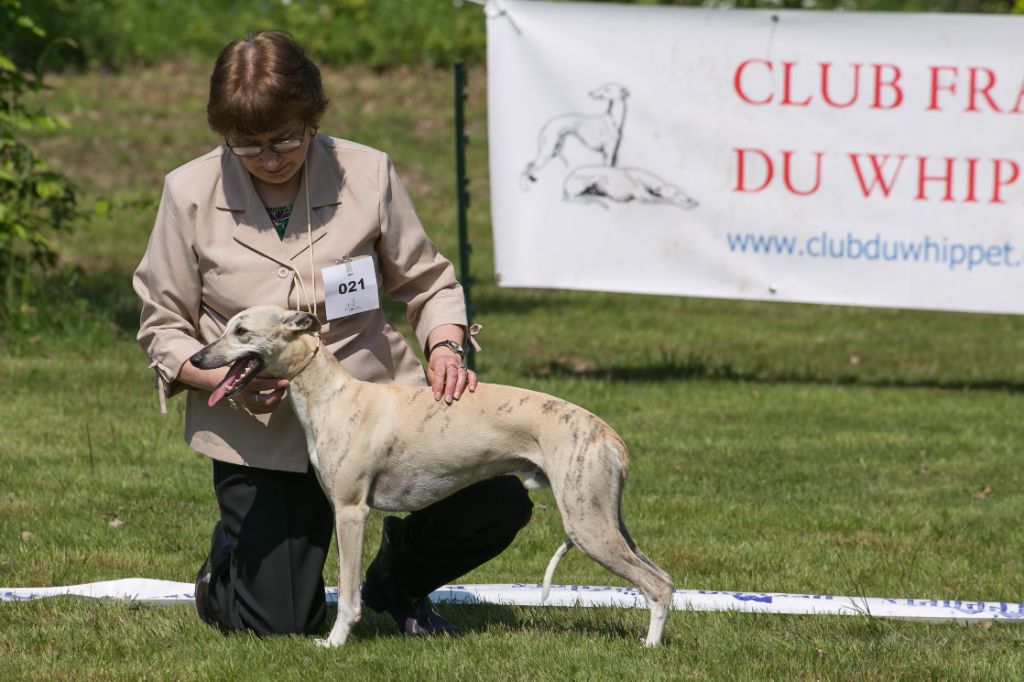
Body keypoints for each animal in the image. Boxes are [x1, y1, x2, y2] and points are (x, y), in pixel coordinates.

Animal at [191, 305, 671, 647]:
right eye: (226, 326)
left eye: (241, 331)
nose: (196, 357)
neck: (333, 395)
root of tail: (609, 435)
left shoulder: (351, 511)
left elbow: (347, 593)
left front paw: (333, 642)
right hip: (605, 519)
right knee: (662, 578)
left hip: (589, 524)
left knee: (657, 585)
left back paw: (648, 647)